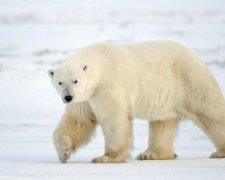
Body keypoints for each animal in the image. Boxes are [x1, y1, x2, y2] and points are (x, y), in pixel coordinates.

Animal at [48, 40, 225, 163]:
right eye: (60, 82)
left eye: (75, 81)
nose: (67, 97)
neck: (99, 64)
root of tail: (196, 56)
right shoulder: (86, 97)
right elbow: (78, 121)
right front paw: (64, 153)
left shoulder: (107, 86)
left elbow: (114, 119)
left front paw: (106, 157)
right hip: (167, 98)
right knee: (162, 123)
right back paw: (151, 154)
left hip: (190, 81)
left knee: (211, 112)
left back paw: (219, 152)